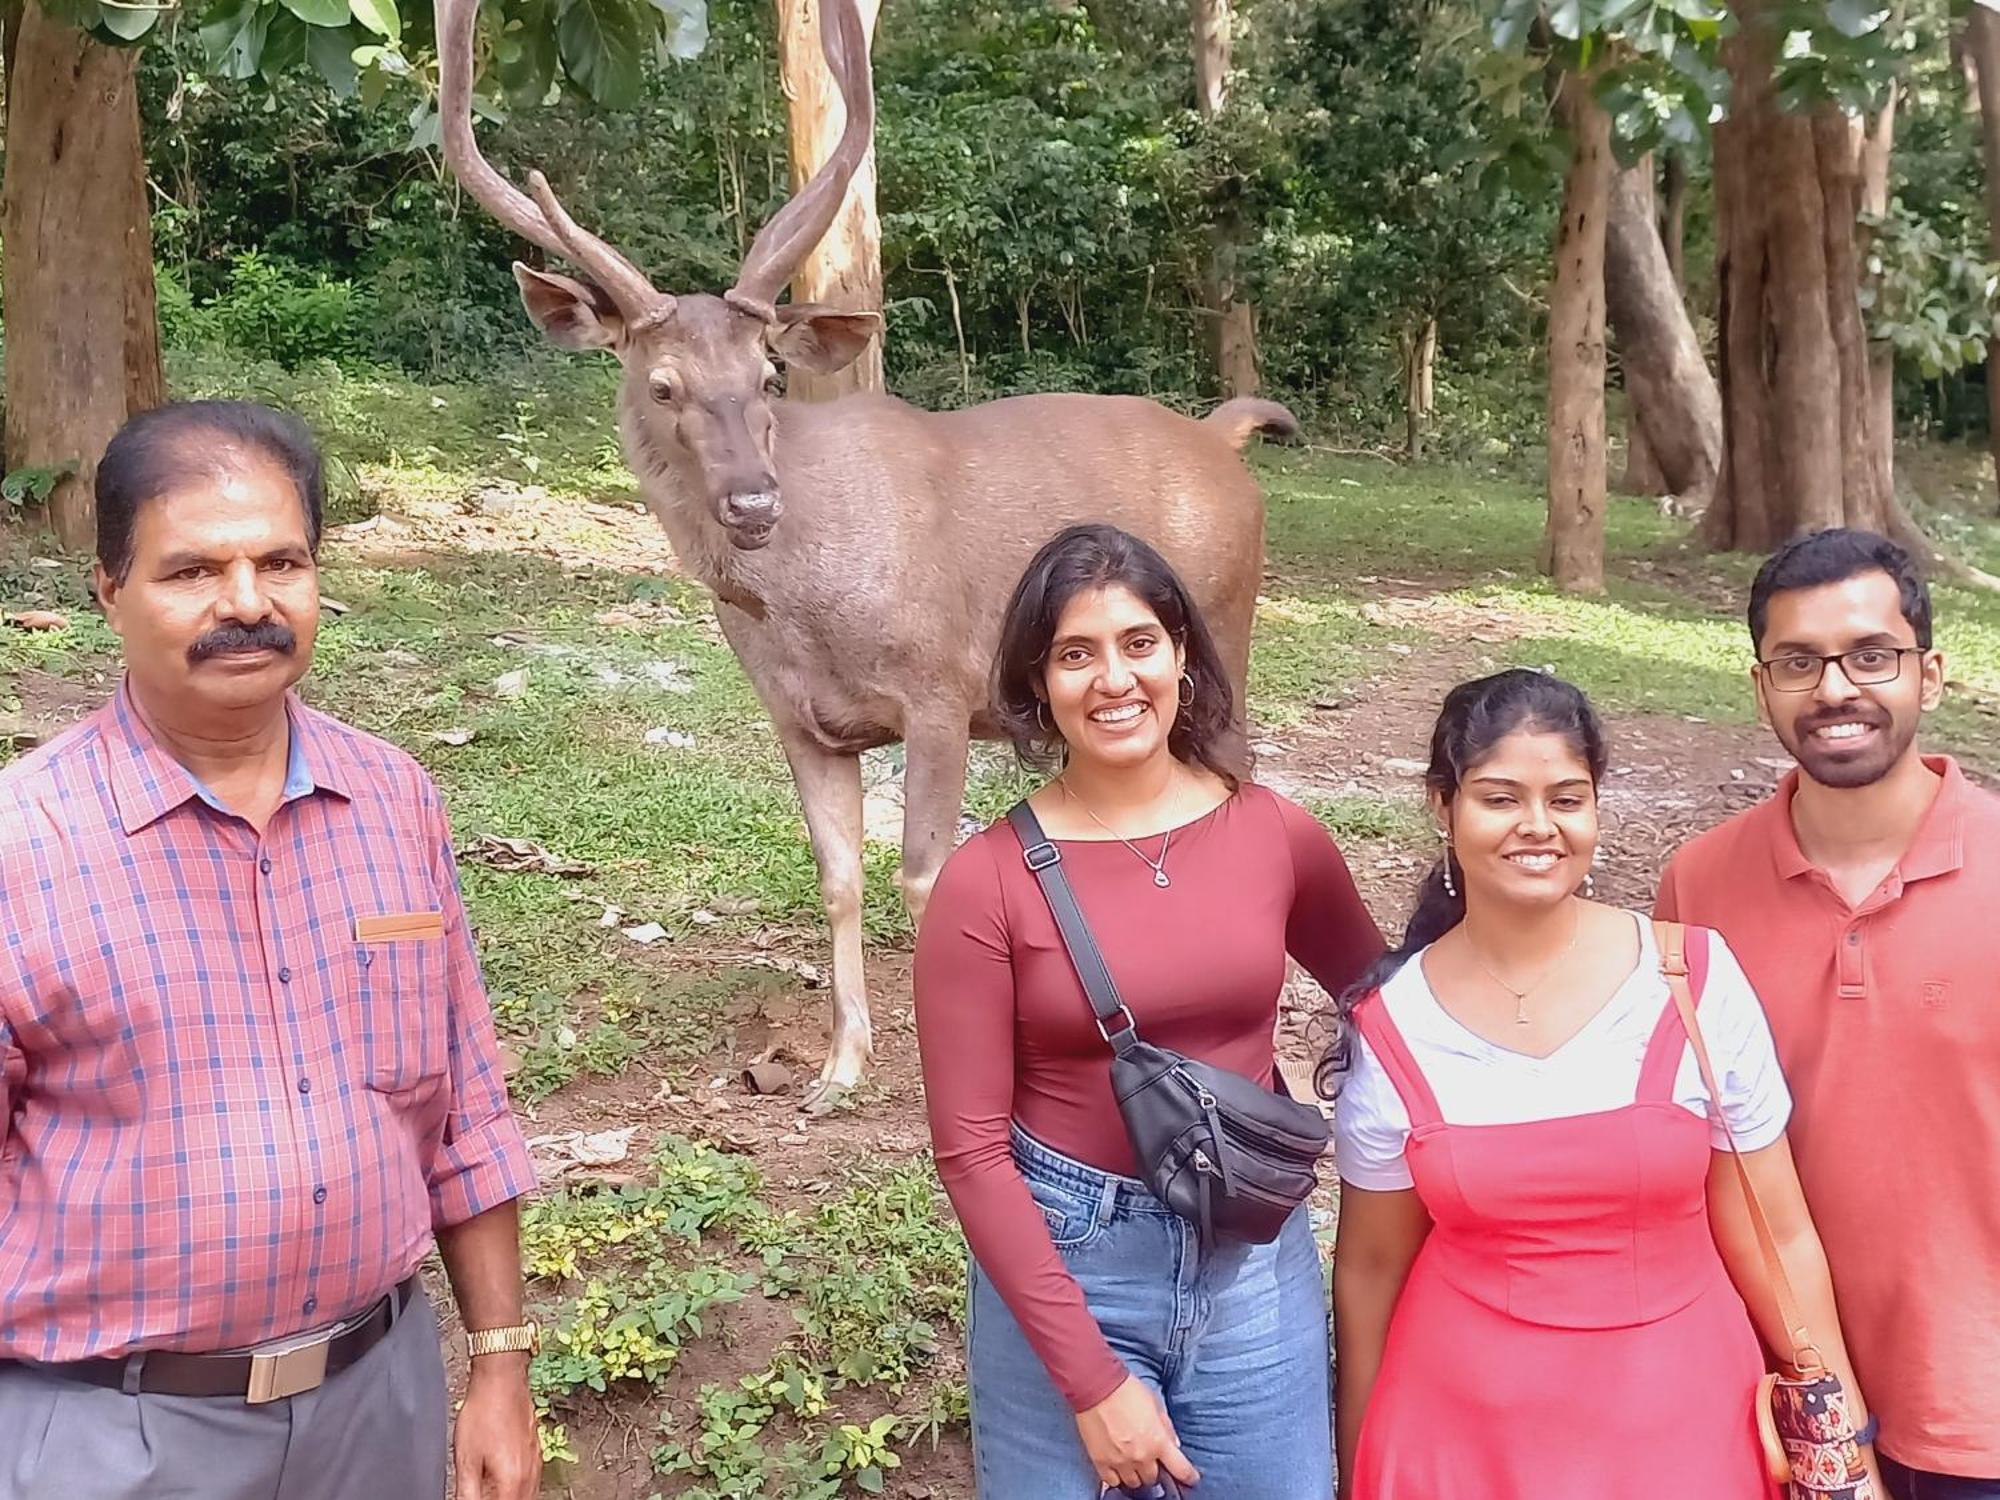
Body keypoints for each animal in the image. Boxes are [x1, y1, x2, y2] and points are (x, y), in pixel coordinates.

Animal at [438, 0, 1296, 1112]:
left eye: (767, 374)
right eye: (661, 384)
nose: (752, 501)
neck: (806, 616)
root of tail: (1226, 441)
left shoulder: (938, 686)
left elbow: (923, 878)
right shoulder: (801, 722)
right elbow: (838, 875)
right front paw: (839, 1064)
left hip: (1224, 628)